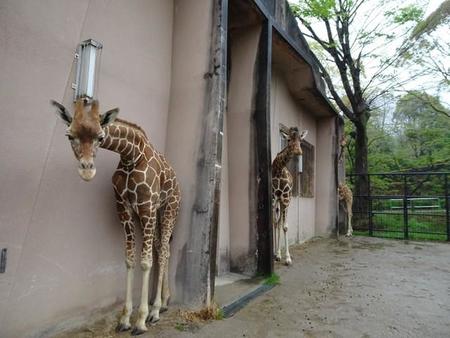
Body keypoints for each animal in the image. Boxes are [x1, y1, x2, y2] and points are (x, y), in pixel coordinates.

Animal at [51, 98, 180, 336]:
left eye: (101, 137)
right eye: (69, 135)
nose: (87, 171)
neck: (131, 156)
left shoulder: (146, 206)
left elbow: (145, 262)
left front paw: (141, 321)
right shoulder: (124, 208)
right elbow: (129, 260)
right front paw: (125, 319)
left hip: (169, 208)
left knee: (165, 250)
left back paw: (156, 311)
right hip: (156, 213)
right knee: (162, 248)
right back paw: (165, 302)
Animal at [270, 126, 310, 264]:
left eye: (300, 140)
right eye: (288, 140)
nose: (298, 151)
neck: (278, 169)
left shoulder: (286, 198)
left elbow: (285, 227)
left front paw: (287, 258)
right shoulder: (273, 198)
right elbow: (274, 223)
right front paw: (277, 254)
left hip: (284, 202)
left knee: (280, 223)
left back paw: (278, 254)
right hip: (278, 202)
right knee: (276, 223)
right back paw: (276, 254)